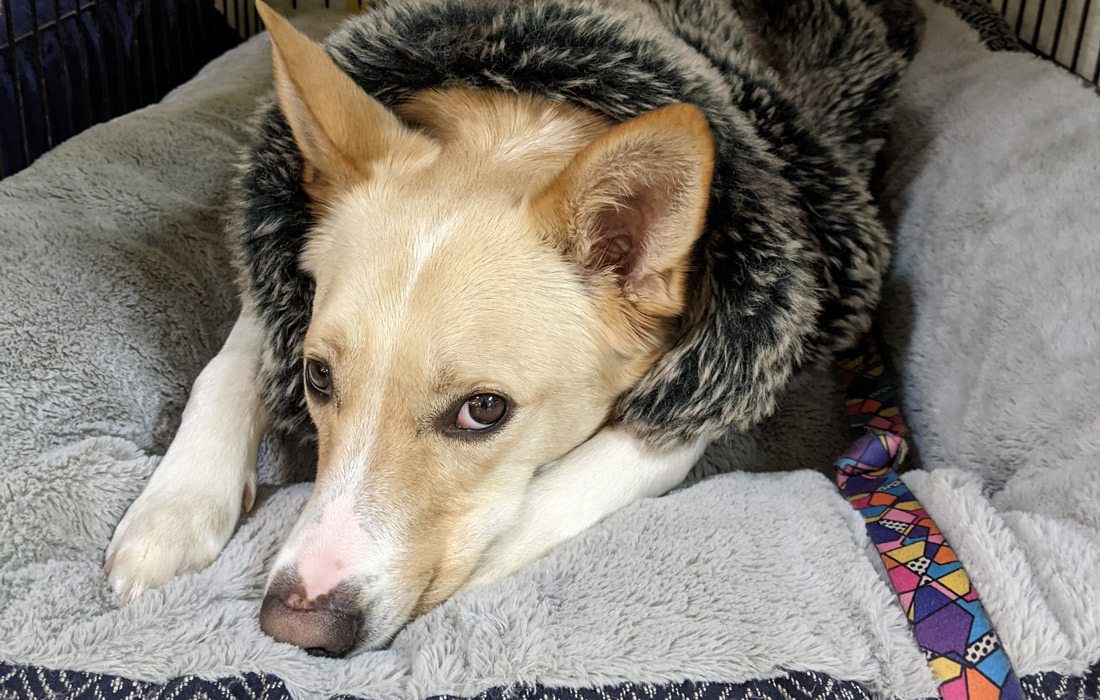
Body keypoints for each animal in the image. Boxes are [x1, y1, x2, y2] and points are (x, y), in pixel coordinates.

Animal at [105, 0, 919, 655]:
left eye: (484, 410)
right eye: (317, 377)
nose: (296, 625)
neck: (526, 119)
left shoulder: (742, 376)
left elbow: (613, 466)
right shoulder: (278, 289)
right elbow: (227, 365)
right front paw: (173, 510)